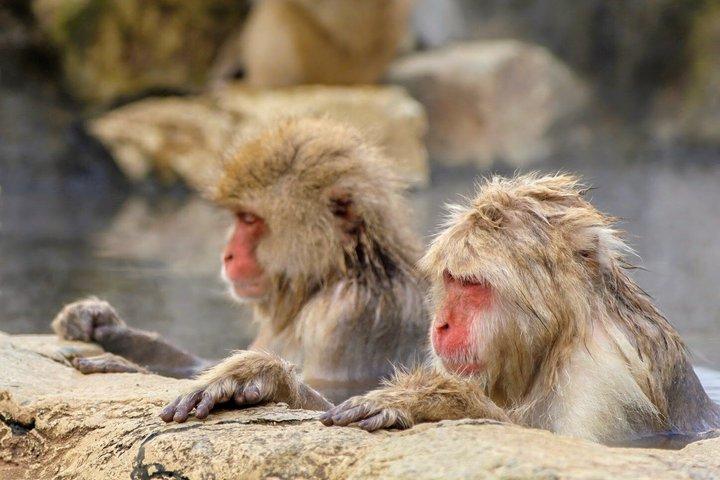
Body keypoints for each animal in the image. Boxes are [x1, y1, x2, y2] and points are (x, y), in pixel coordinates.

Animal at [52, 117, 429, 409]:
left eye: (249, 220)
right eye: (239, 217)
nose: (227, 254)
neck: (341, 272)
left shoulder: (348, 314)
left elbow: (336, 401)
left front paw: (261, 379)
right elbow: (204, 363)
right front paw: (105, 327)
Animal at [318, 173, 720, 445]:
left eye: (473, 284)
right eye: (452, 279)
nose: (442, 325)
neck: (560, 338)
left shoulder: (601, 374)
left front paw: (432, 401)